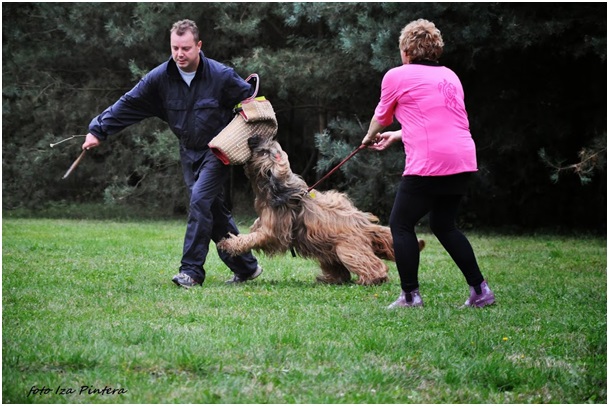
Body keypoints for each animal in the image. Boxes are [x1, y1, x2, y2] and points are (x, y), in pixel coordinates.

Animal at [217, 136, 422, 286]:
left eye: (264, 151)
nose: (253, 138)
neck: (276, 188)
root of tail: (363, 224)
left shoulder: (275, 231)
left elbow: (254, 237)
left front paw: (229, 243)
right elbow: (255, 226)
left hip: (347, 248)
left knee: (372, 264)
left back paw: (372, 278)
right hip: (327, 249)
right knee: (340, 271)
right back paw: (329, 279)